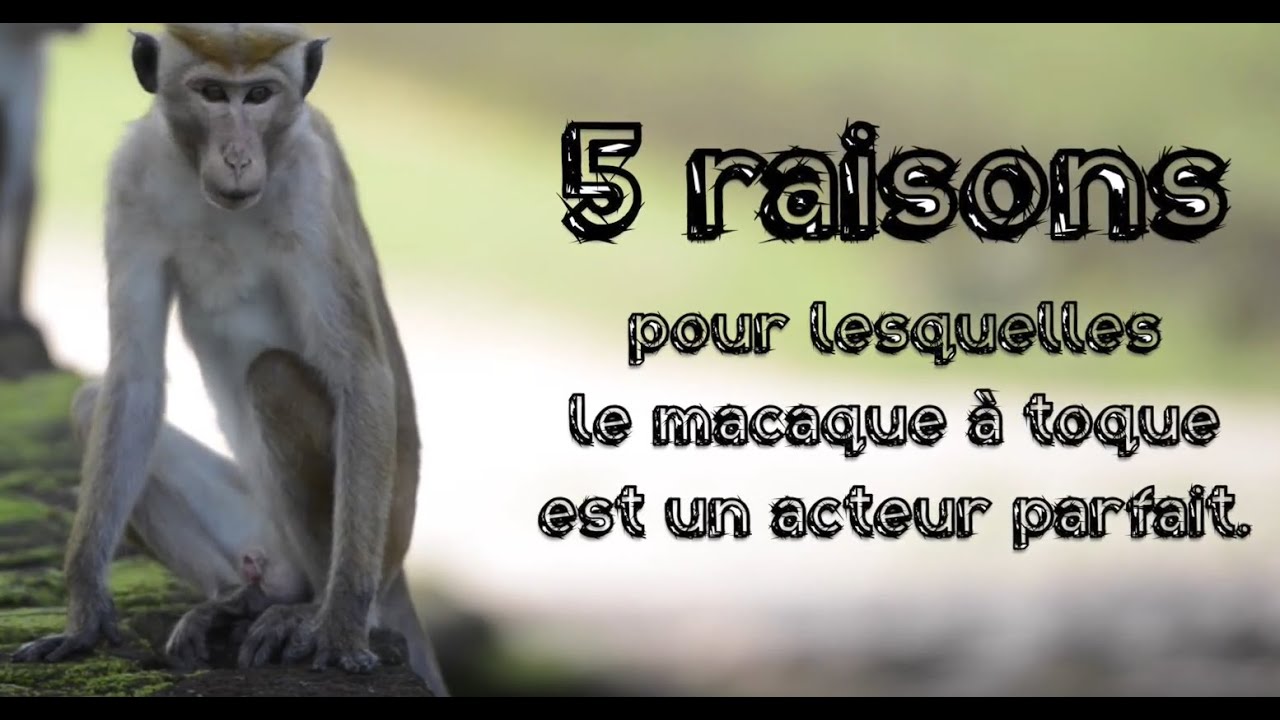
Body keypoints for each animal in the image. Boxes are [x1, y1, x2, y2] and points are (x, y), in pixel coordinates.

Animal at [10, 23, 450, 697]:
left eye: (260, 95)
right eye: (214, 93)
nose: (240, 156)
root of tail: (398, 572)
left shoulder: (309, 187)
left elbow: (361, 377)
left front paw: (341, 627)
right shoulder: (132, 177)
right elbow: (133, 377)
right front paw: (84, 611)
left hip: (373, 543)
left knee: (271, 375)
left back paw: (313, 612)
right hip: (253, 532)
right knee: (90, 406)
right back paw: (235, 603)